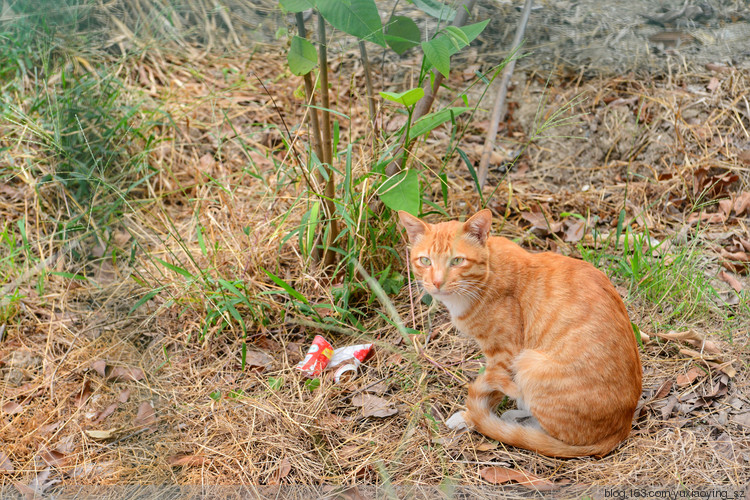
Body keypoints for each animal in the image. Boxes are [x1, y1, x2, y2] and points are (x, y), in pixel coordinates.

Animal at [402, 209, 644, 458]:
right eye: (425, 261)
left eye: (457, 260)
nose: (437, 282)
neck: (486, 273)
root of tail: (622, 427)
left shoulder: (504, 354)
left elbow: (493, 387)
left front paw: (469, 417)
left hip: (529, 362)